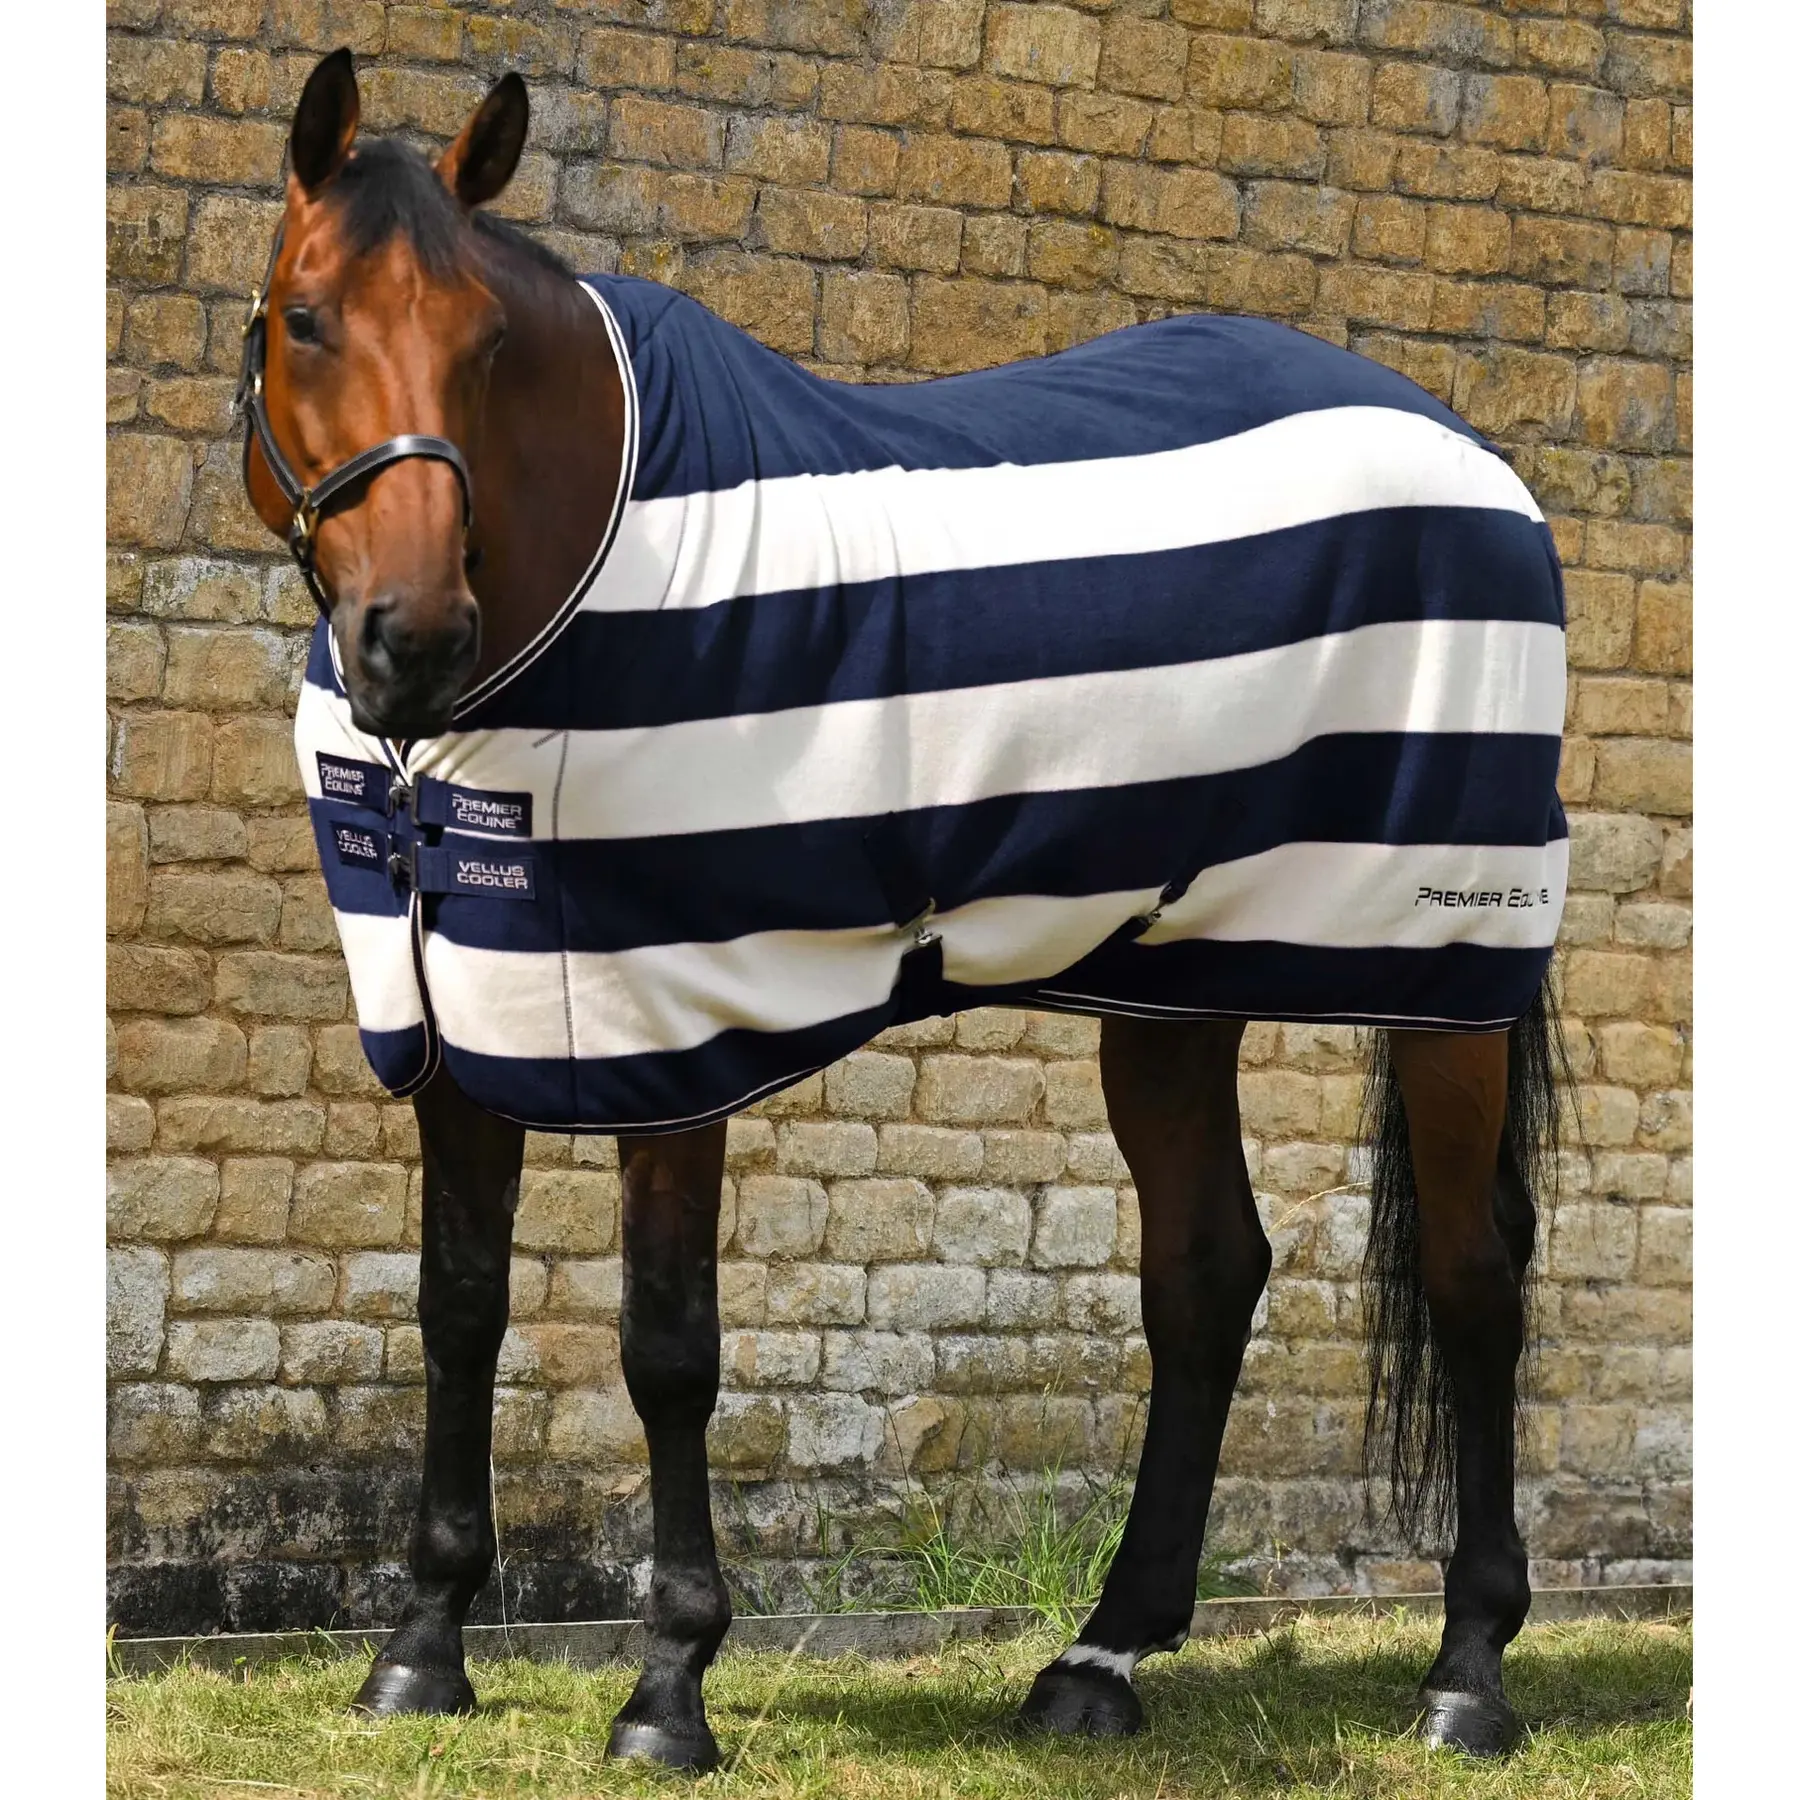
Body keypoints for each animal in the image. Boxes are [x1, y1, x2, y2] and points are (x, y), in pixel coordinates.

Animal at [238, 50, 1570, 1770]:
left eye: (487, 343)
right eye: (306, 318)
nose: (412, 638)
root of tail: (1476, 459)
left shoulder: (675, 1023)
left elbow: (667, 1346)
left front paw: (668, 1687)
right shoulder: (458, 1015)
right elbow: (456, 1305)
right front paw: (420, 1649)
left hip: (1443, 968)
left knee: (1474, 1276)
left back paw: (1468, 1671)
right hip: (1176, 975)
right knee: (1207, 1272)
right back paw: (1102, 1657)